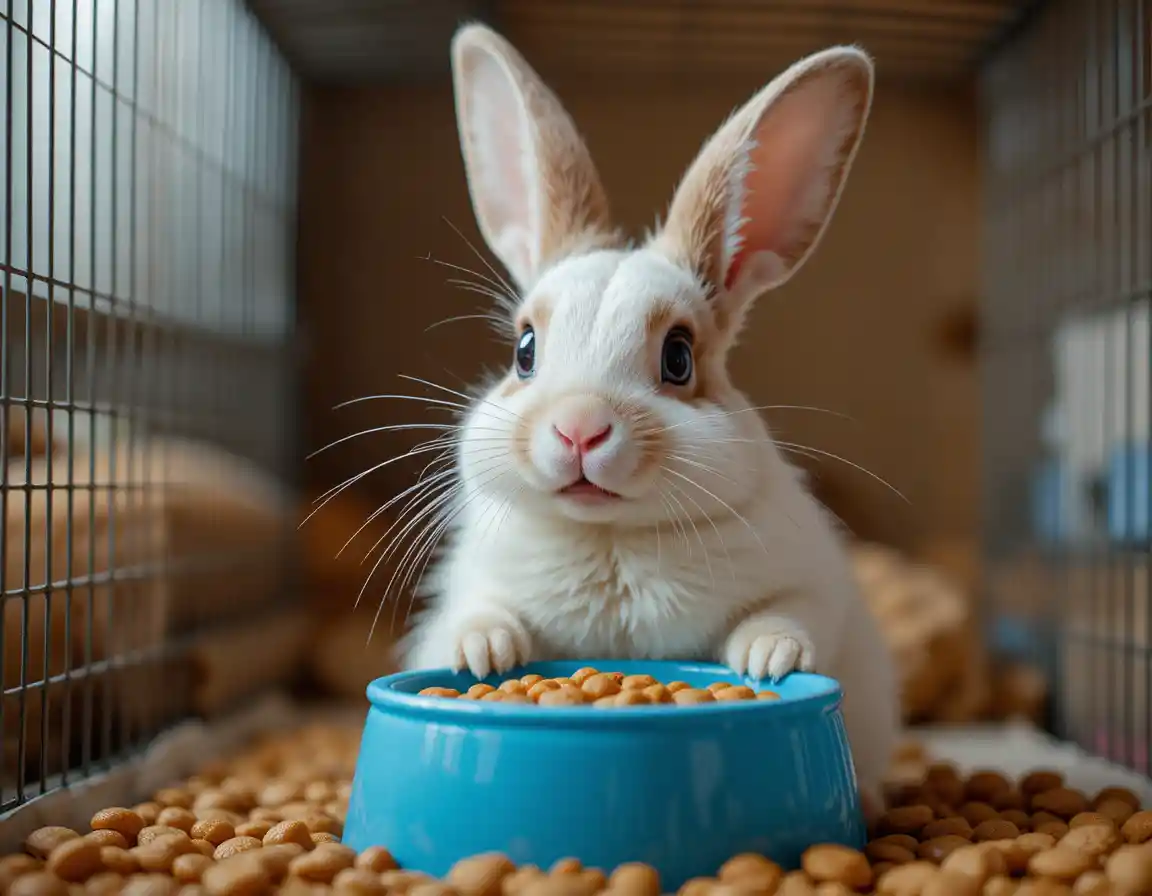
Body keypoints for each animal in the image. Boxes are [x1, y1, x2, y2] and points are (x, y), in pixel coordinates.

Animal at [401, 22, 901, 809]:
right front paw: (482, 651)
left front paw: (766, 657)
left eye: (679, 358)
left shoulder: (815, 586)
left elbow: (791, 614)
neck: (610, 539)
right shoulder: (477, 579)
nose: (579, 428)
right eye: (524, 350)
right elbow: (481, 609)